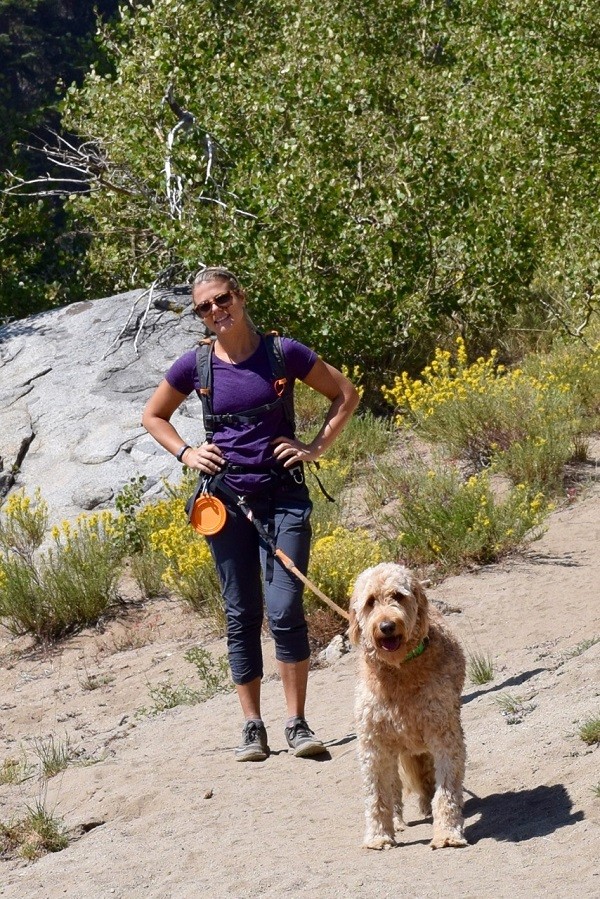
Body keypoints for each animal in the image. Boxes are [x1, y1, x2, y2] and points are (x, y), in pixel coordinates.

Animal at [346, 564, 468, 852]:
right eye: (370, 602)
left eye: (398, 596)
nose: (387, 626)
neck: (399, 670)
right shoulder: (374, 743)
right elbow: (377, 794)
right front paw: (379, 835)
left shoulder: (443, 732)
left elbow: (446, 787)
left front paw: (447, 832)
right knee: (394, 785)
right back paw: (397, 819)